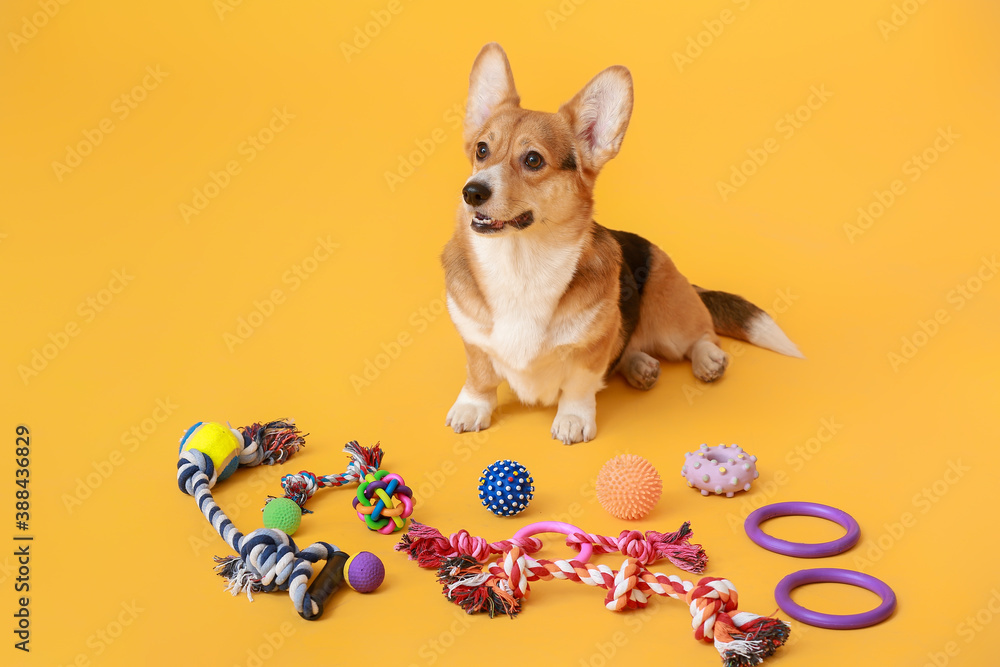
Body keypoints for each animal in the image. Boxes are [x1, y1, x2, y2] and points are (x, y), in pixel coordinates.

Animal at [442, 44, 800, 446]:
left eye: (533, 159)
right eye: (482, 150)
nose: (472, 192)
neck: (520, 263)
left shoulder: (591, 348)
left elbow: (580, 385)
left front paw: (573, 419)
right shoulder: (474, 340)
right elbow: (480, 377)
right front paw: (472, 407)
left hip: (673, 318)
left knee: (702, 334)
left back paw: (706, 359)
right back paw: (640, 365)